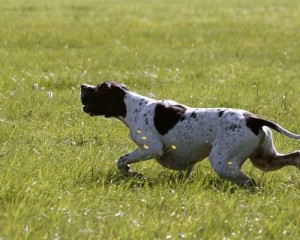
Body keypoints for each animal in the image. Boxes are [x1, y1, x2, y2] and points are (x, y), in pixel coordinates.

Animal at [80, 81, 300, 187]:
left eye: (98, 88)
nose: (82, 86)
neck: (134, 107)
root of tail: (254, 119)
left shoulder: (151, 148)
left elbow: (121, 161)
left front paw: (133, 173)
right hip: (264, 159)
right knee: (294, 156)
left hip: (223, 161)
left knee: (248, 181)